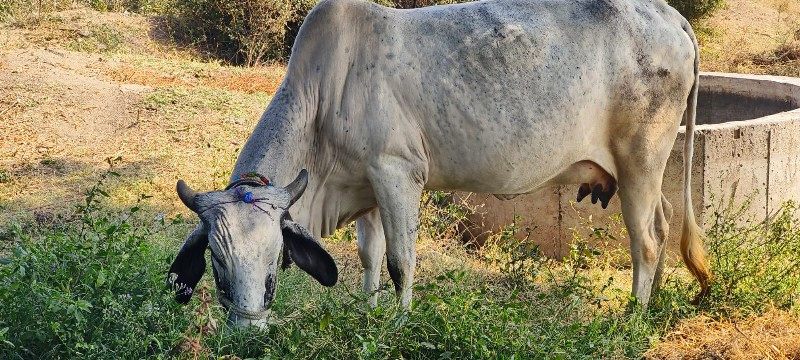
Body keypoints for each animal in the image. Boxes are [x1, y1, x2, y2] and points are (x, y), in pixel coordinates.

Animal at [169, 0, 712, 330]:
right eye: (217, 262)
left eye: (273, 262)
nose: (247, 331)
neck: (323, 90)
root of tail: (670, 14)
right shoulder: (365, 184)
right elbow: (370, 257)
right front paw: (366, 314)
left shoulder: (398, 172)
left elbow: (400, 261)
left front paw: (398, 322)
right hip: (641, 173)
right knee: (664, 224)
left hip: (641, 161)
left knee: (646, 241)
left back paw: (634, 318)